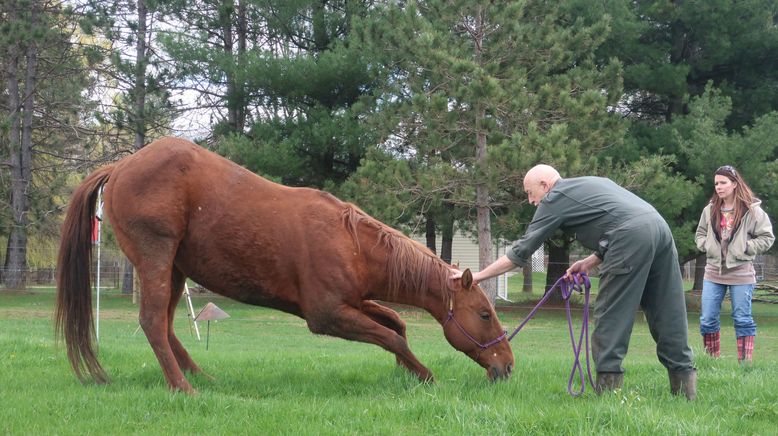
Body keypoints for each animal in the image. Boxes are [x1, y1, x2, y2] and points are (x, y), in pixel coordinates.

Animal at [56, 138, 516, 394]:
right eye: (484, 314)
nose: (507, 366)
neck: (351, 243)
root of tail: (120, 165)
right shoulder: (327, 315)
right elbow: (392, 338)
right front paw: (426, 376)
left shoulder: (353, 302)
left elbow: (396, 326)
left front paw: (411, 373)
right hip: (157, 259)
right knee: (153, 321)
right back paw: (184, 388)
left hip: (174, 270)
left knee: (166, 326)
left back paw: (201, 378)